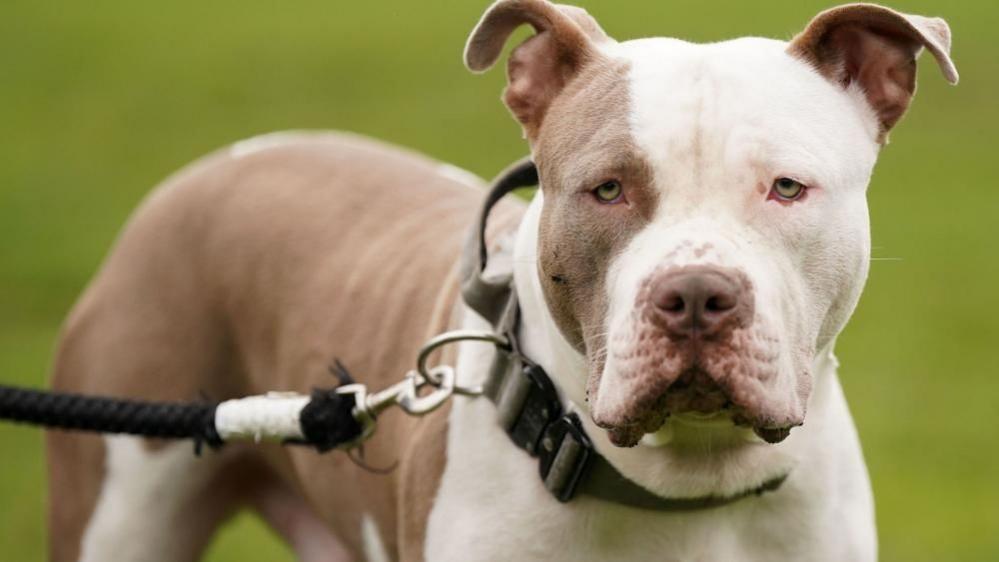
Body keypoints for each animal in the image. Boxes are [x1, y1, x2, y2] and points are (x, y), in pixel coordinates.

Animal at [45, 1, 952, 560]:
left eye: (786, 187)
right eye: (607, 189)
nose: (695, 296)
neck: (685, 486)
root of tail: (219, 164)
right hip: (120, 505)